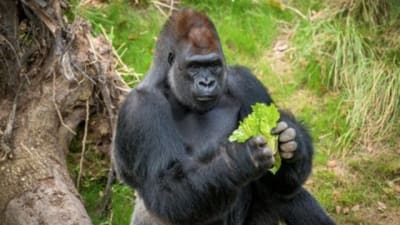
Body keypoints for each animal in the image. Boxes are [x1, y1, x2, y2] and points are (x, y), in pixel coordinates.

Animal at [114, 8, 336, 225]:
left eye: (213, 65)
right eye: (194, 67)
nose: (207, 83)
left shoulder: (246, 82)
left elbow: (281, 183)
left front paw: (291, 141)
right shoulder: (141, 109)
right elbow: (164, 187)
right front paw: (240, 159)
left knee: (283, 194)